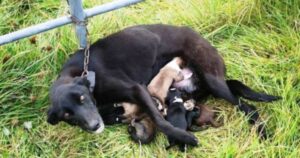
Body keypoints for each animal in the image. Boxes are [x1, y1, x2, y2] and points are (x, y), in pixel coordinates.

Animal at [47, 23, 278, 147]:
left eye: (83, 98)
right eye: (67, 115)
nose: (95, 126)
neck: (84, 73)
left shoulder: (137, 89)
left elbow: (159, 120)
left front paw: (183, 136)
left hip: (214, 81)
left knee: (248, 107)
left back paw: (262, 133)